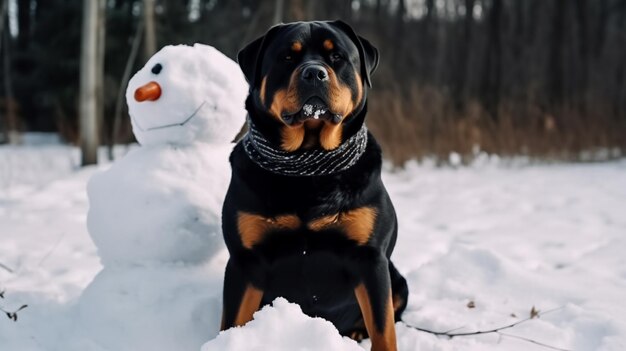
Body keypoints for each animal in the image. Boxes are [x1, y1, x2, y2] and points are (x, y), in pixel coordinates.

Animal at [222, 20, 408, 350]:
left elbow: (383, 328)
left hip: (398, 280)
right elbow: (232, 323)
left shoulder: (370, 259)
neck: (308, 169)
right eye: (287, 57)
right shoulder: (245, 261)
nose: (314, 73)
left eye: (337, 57)